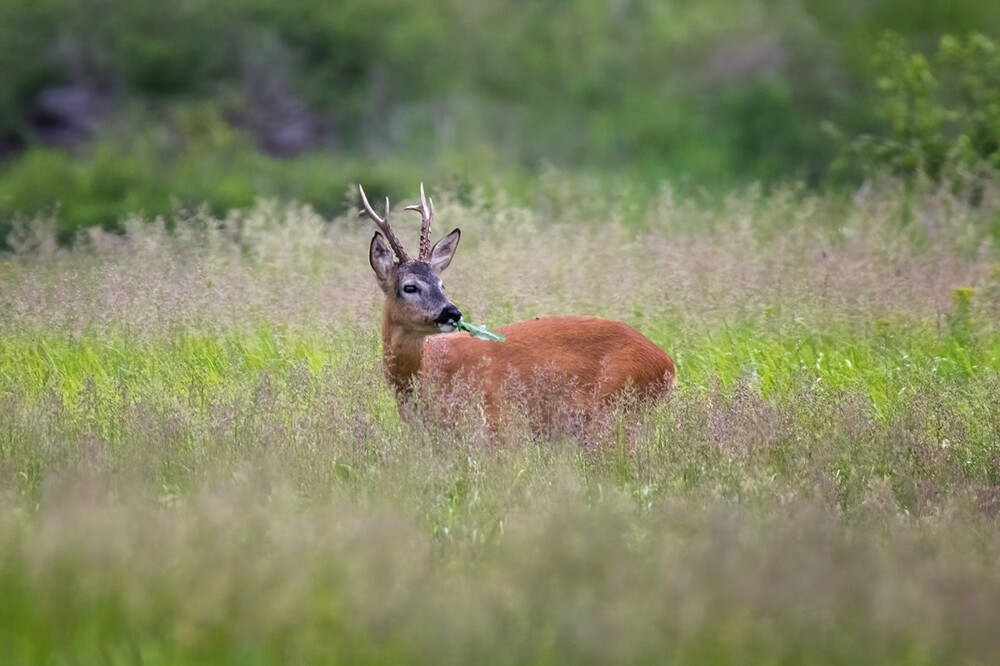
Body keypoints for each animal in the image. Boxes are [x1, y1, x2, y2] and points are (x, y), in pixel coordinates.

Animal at [362, 183, 680, 430]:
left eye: (442, 284)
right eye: (410, 287)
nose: (452, 312)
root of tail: (667, 364)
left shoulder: (497, 421)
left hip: (612, 409)